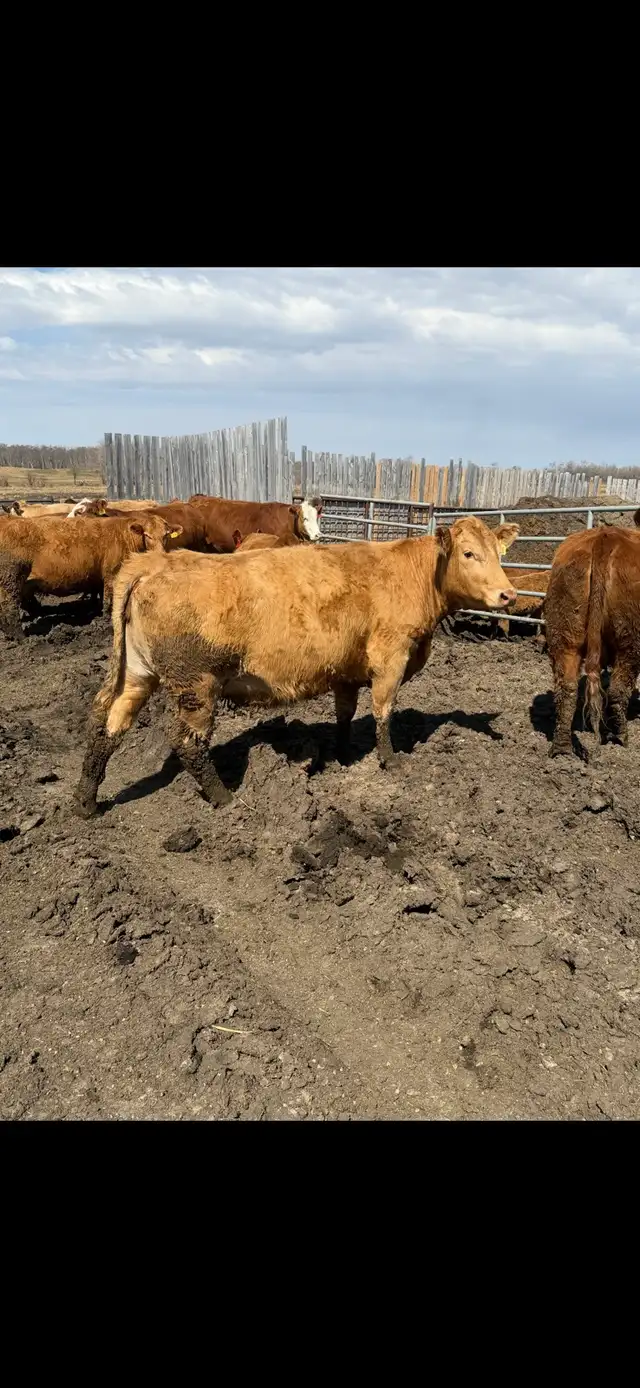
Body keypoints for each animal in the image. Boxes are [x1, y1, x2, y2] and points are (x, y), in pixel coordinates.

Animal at [0, 513, 182, 641]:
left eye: (166, 535)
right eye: (147, 535)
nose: (160, 554)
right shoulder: (112, 574)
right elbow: (109, 600)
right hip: (10, 579)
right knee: (9, 607)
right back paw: (20, 636)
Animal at [72, 514, 519, 818]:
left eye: (499, 555)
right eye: (468, 553)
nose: (508, 595)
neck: (412, 575)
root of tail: (154, 565)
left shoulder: (346, 668)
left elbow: (345, 714)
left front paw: (341, 754)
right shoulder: (390, 658)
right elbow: (383, 711)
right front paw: (390, 762)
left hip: (137, 673)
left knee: (107, 723)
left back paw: (85, 801)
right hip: (195, 685)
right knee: (187, 742)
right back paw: (224, 799)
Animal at [545, 517, 640, 757]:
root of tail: (605, 537)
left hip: (565, 635)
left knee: (566, 689)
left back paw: (562, 748)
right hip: (631, 640)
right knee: (617, 690)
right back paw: (621, 737)